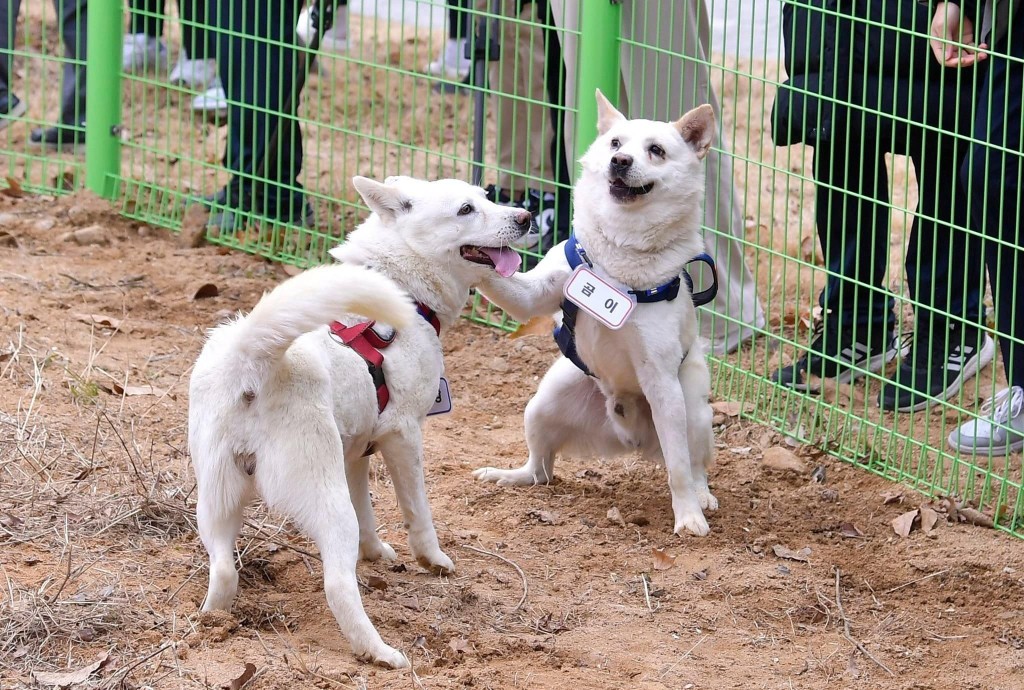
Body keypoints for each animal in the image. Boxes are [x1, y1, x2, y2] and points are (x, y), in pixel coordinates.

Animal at [187, 175, 532, 663]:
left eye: (485, 196)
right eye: (466, 209)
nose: (525, 217)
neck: (401, 285)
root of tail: (254, 360)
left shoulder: (355, 453)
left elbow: (368, 512)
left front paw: (375, 552)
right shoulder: (403, 437)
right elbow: (418, 513)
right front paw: (433, 560)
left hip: (217, 500)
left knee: (223, 571)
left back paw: (213, 621)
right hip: (323, 500)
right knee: (337, 586)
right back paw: (380, 652)